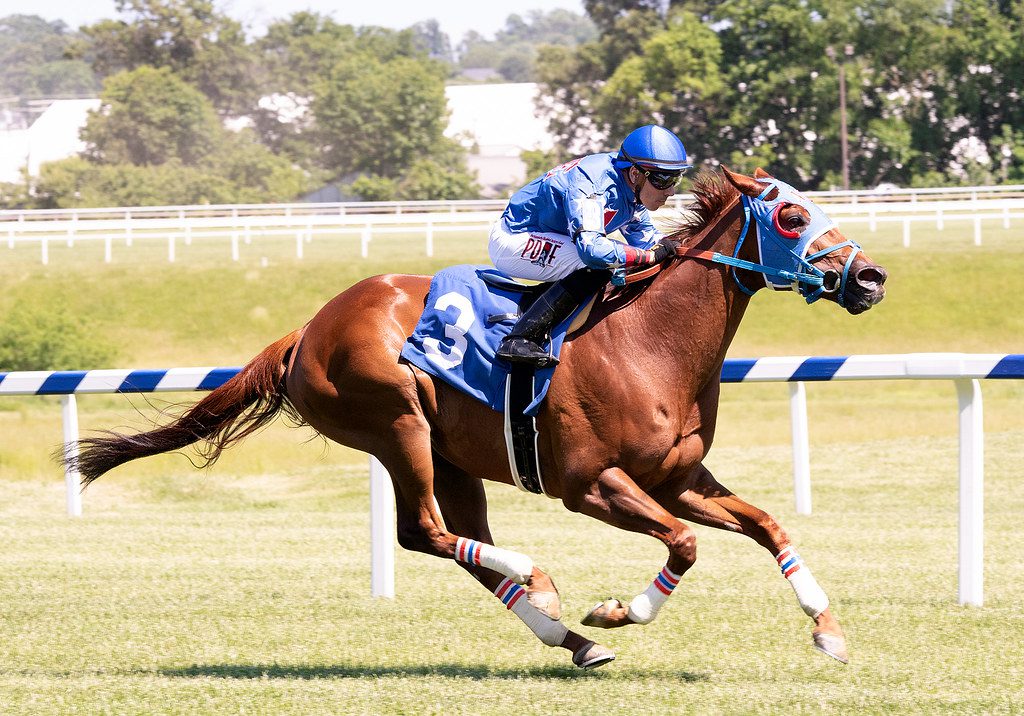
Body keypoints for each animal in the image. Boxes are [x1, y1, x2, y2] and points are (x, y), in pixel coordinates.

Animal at [74, 167, 888, 671]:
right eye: (792, 215)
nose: (872, 277)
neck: (648, 341)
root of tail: (307, 329)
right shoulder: (590, 484)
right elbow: (684, 546)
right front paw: (617, 611)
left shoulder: (677, 477)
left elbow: (768, 526)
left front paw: (828, 628)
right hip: (396, 424)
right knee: (424, 532)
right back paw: (543, 583)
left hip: (452, 455)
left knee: (454, 539)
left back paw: (563, 633)